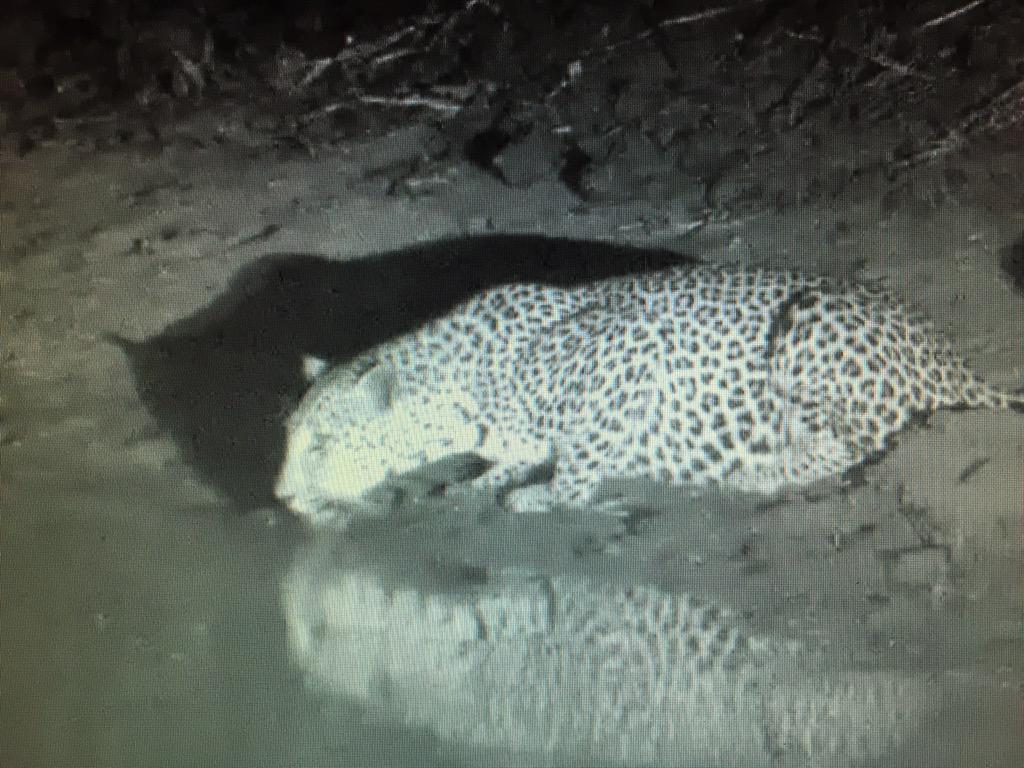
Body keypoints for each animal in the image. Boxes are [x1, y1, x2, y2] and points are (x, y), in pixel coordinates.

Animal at [274, 264, 1023, 525]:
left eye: (322, 443)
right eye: (289, 436)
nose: (279, 495)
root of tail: (951, 356)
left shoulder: (626, 347)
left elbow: (579, 459)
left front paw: (547, 495)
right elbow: (513, 455)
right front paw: (480, 480)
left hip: (811, 325)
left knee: (856, 441)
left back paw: (758, 473)